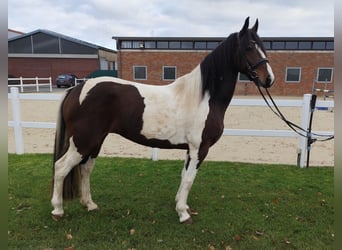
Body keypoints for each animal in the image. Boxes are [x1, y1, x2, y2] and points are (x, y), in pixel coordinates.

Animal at [51, 17, 276, 225]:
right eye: (248, 47)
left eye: (264, 47)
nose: (268, 79)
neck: (203, 97)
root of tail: (77, 89)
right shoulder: (199, 149)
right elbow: (189, 179)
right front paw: (184, 214)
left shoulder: (190, 149)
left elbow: (183, 176)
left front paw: (181, 205)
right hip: (83, 141)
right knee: (61, 167)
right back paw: (58, 210)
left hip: (95, 141)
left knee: (85, 168)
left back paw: (89, 204)